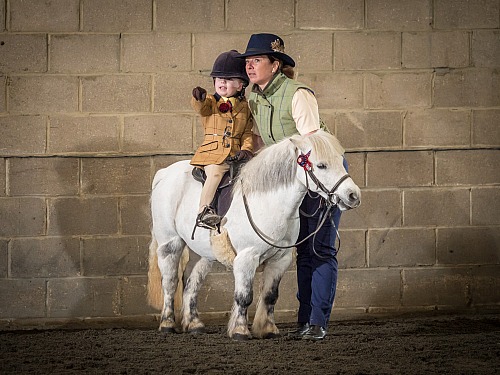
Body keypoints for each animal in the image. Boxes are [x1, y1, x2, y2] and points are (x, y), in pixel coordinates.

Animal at [146, 131, 362, 342]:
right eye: (321, 165)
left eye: (340, 160)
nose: (353, 195)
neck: (267, 202)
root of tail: (164, 174)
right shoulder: (246, 258)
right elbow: (244, 296)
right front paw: (240, 330)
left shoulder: (280, 260)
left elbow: (270, 296)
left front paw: (268, 329)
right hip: (170, 244)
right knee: (170, 283)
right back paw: (167, 324)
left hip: (204, 254)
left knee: (191, 284)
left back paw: (194, 324)